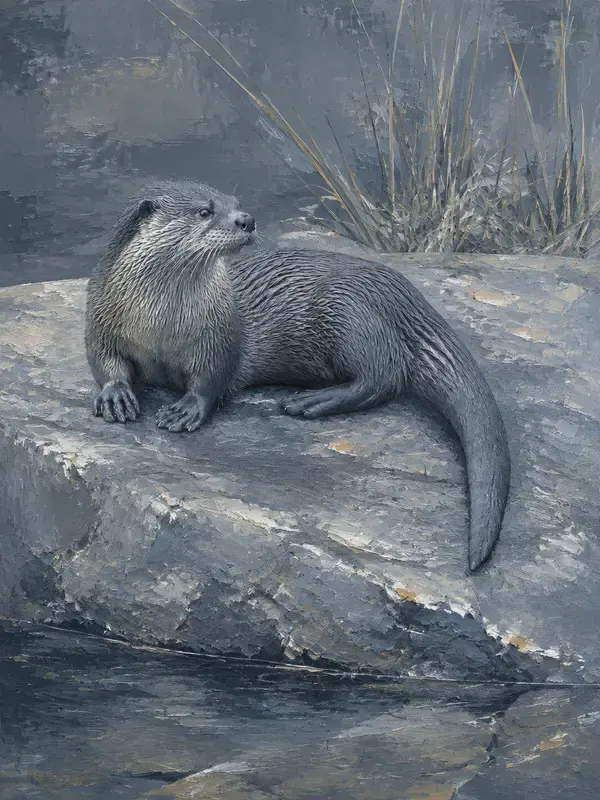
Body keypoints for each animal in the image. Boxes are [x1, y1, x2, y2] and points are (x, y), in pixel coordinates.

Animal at [85, 178, 510, 572]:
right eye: (205, 211)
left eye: (236, 203)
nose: (246, 220)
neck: (160, 324)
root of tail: (402, 291)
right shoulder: (100, 315)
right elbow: (102, 359)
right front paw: (116, 395)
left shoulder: (219, 334)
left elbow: (212, 379)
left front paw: (185, 409)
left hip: (349, 315)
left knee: (382, 376)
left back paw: (313, 400)